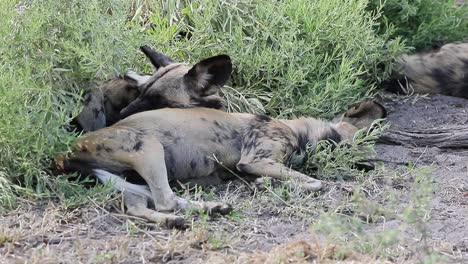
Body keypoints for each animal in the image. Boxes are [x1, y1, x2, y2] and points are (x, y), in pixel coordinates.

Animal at [55, 97, 384, 229]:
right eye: (337, 141)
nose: (363, 163)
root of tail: (67, 152)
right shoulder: (254, 160)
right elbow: (316, 183)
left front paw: (265, 184)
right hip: (148, 147)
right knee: (165, 200)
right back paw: (203, 210)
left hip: (130, 176)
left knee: (143, 205)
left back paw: (205, 211)